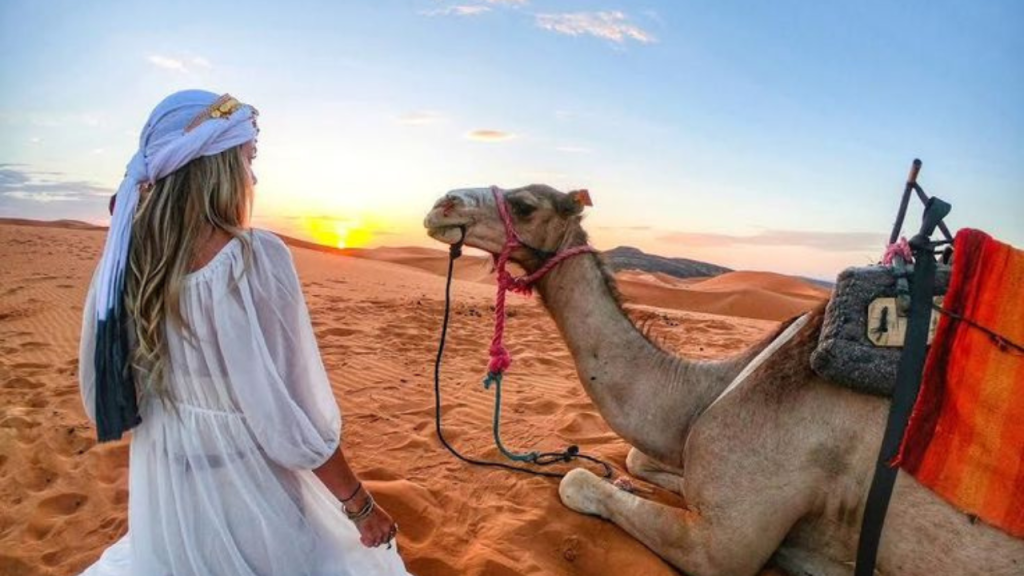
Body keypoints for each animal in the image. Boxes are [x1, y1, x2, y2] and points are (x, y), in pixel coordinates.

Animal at [419, 184, 1019, 573]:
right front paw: (631, 479)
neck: (712, 388)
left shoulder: (721, 546)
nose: (440, 204)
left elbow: (577, 481)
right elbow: (638, 459)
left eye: (524, 204)